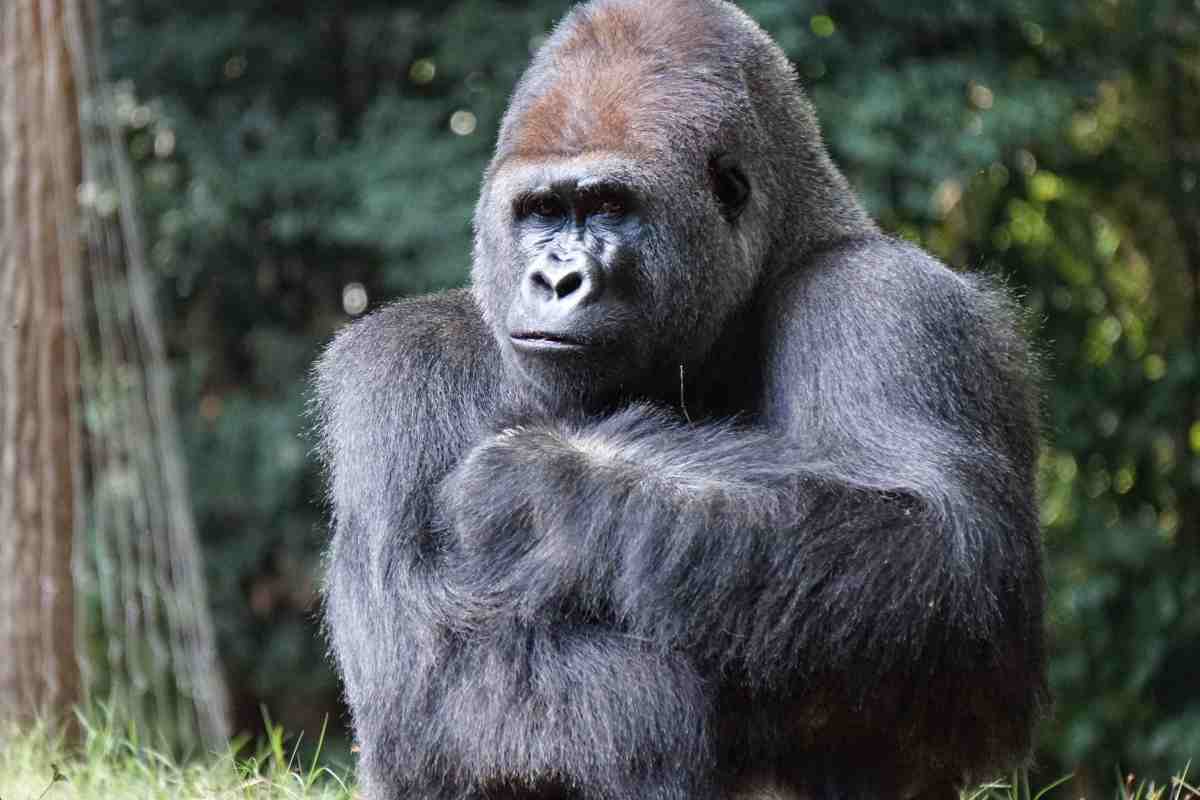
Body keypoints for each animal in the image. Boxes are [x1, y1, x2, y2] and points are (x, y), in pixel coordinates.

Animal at [314, 1, 1046, 800]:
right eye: (541, 211)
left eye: (609, 205)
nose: (556, 279)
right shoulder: (402, 366)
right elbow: (433, 664)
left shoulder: (888, 301)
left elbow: (950, 559)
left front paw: (545, 478)